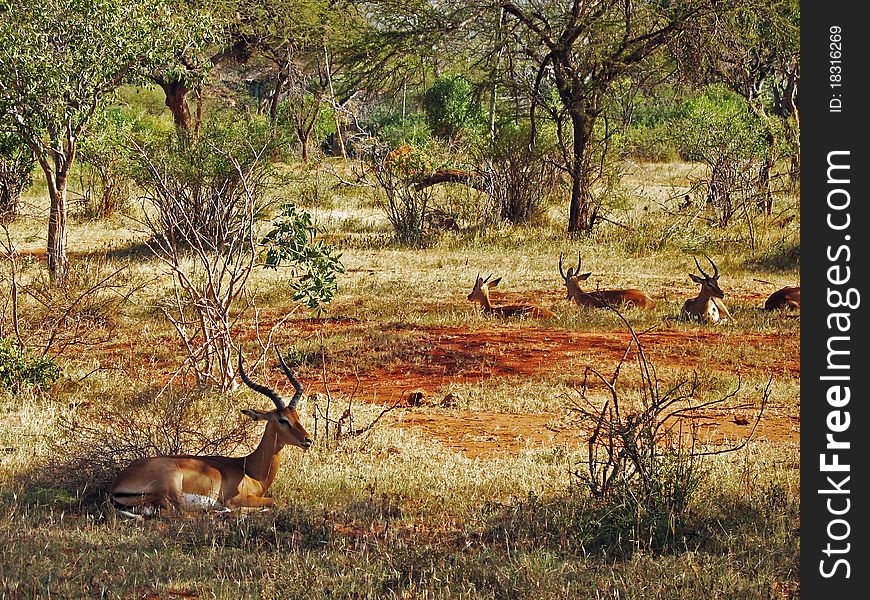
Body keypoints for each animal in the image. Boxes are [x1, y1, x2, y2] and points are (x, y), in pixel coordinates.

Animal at [107, 350, 314, 516]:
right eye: (282, 420)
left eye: (296, 416)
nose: (308, 440)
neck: (249, 470)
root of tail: (116, 483)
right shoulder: (236, 498)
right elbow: (274, 502)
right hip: (172, 490)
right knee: (179, 514)